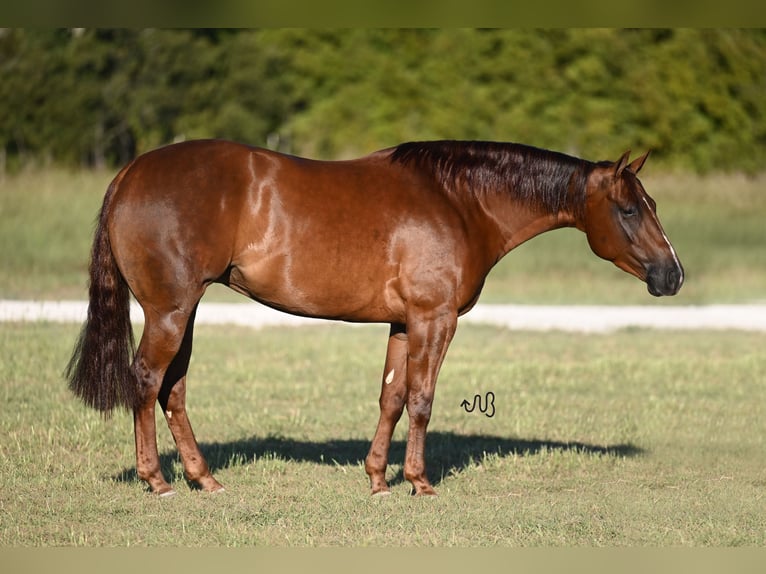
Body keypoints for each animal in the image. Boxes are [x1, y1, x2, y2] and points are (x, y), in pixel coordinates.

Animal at [66, 137, 688, 498]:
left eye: (653, 205)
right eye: (628, 210)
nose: (673, 275)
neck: (458, 199)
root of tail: (130, 172)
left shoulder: (404, 323)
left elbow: (391, 397)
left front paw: (377, 480)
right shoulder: (435, 319)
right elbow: (421, 400)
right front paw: (418, 483)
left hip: (186, 311)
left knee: (173, 388)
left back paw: (205, 479)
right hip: (170, 311)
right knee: (148, 381)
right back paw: (158, 482)